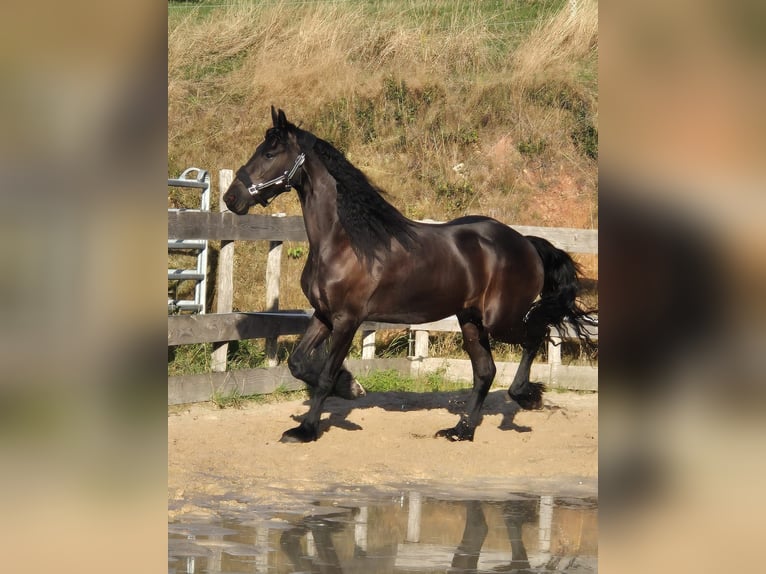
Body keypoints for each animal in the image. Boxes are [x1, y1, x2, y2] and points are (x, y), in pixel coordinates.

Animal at [225, 107, 596, 446]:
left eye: (270, 153)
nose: (232, 198)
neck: (345, 241)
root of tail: (527, 243)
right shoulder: (324, 315)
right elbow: (298, 363)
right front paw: (351, 387)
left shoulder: (347, 320)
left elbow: (326, 375)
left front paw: (307, 429)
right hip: (470, 320)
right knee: (485, 371)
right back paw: (461, 431)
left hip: (501, 319)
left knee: (536, 335)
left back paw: (524, 396)